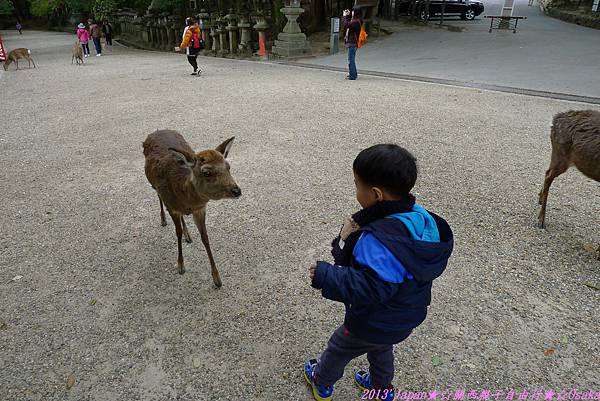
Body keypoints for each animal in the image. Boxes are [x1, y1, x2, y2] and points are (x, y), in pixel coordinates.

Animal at [143, 130, 241, 286]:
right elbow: (177, 233)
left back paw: (188, 235)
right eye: (206, 172)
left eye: (228, 167)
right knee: (158, 195)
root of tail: (156, 131)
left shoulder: (200, 209)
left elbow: (205, 237)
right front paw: (180, 265)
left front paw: (217, 278)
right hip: (154, 185)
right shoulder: (172, 207)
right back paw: (163, 220)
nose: (237, 191)